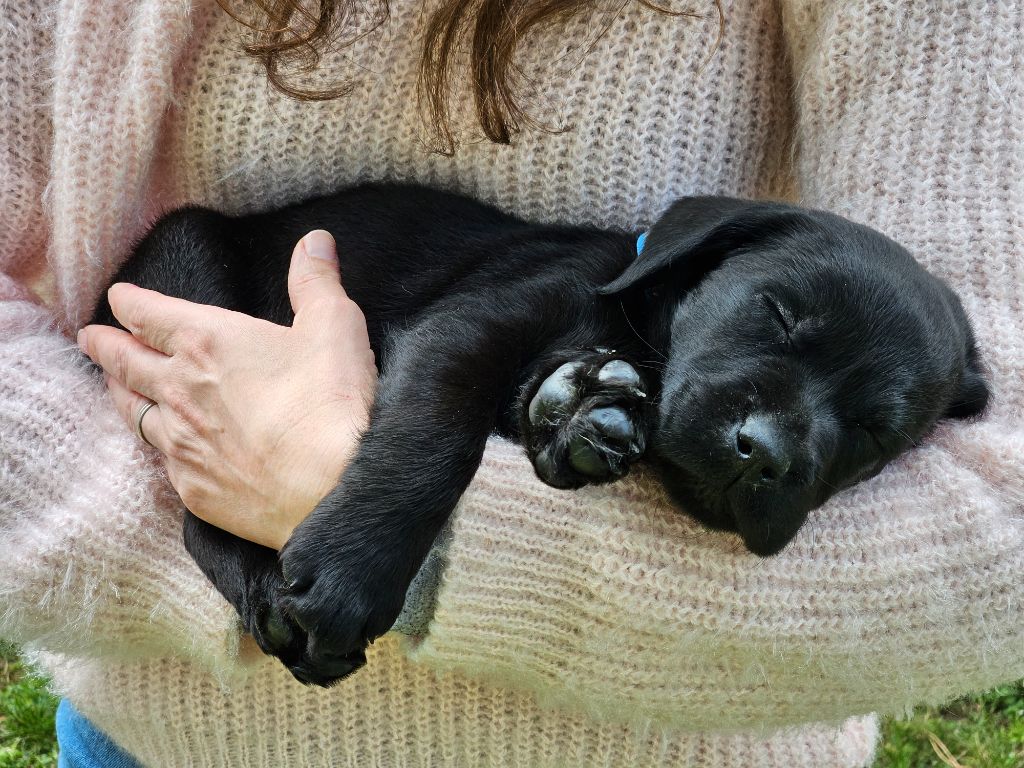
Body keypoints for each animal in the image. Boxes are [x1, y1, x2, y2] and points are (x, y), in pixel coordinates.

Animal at [92, 185, 987, 684]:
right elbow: (431, 442)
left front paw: (585, 410)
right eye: (777, 312)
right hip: (186, 263)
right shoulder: (468, 330)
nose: (764, 455)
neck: (631, 319)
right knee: (193, 511)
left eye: (873, 435)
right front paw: (355, 572)